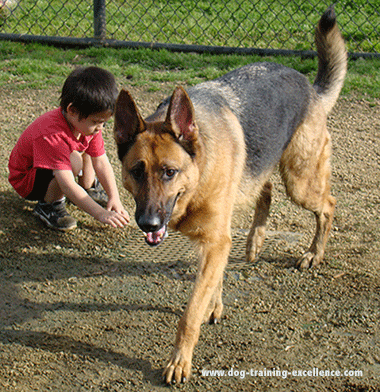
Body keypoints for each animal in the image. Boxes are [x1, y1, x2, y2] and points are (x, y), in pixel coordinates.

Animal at [113, 7, 348, 384]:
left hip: (300, 182)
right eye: (137, 171)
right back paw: (255, 240)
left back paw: (314, 253)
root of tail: (309, 87)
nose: (148, 223)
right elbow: (214, 280)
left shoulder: (215, 241)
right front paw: (215, 304)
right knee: (266, 191)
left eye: (169, 172)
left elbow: (190, 313)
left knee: (327, 205)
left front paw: (180, 360)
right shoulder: (215, 241)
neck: (198, 172)